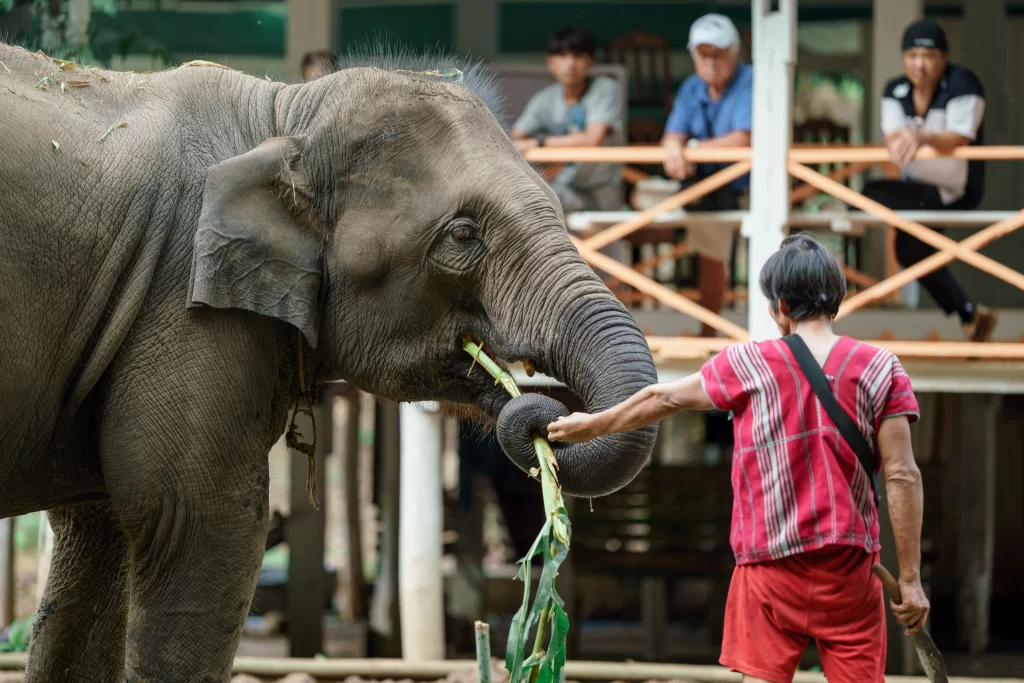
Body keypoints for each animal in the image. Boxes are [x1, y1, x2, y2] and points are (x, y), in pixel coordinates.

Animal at [0, 44, 655, 683]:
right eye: (464, 234)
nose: (543, 415)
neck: (280, 114)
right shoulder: (185, 302)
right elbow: (196, 520)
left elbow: (98, 536)